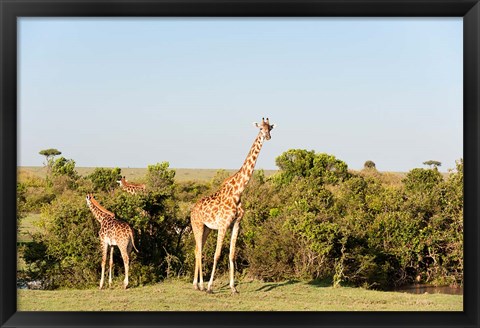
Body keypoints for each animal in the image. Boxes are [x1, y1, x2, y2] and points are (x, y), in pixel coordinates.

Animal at [190, 116, 276, 294]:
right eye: (260, 129)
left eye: (270, 128)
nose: (268, 137)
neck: (238, 192)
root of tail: (191, 210)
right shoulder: (223, 225)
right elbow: (217, 254)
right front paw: (210, 287)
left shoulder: (236, 224)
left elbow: (232, 254)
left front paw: (233, 288)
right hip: (197, 225)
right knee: (199, 251)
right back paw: (201, 285)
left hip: (207, 229)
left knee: (196, 250)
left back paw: (196, 284)